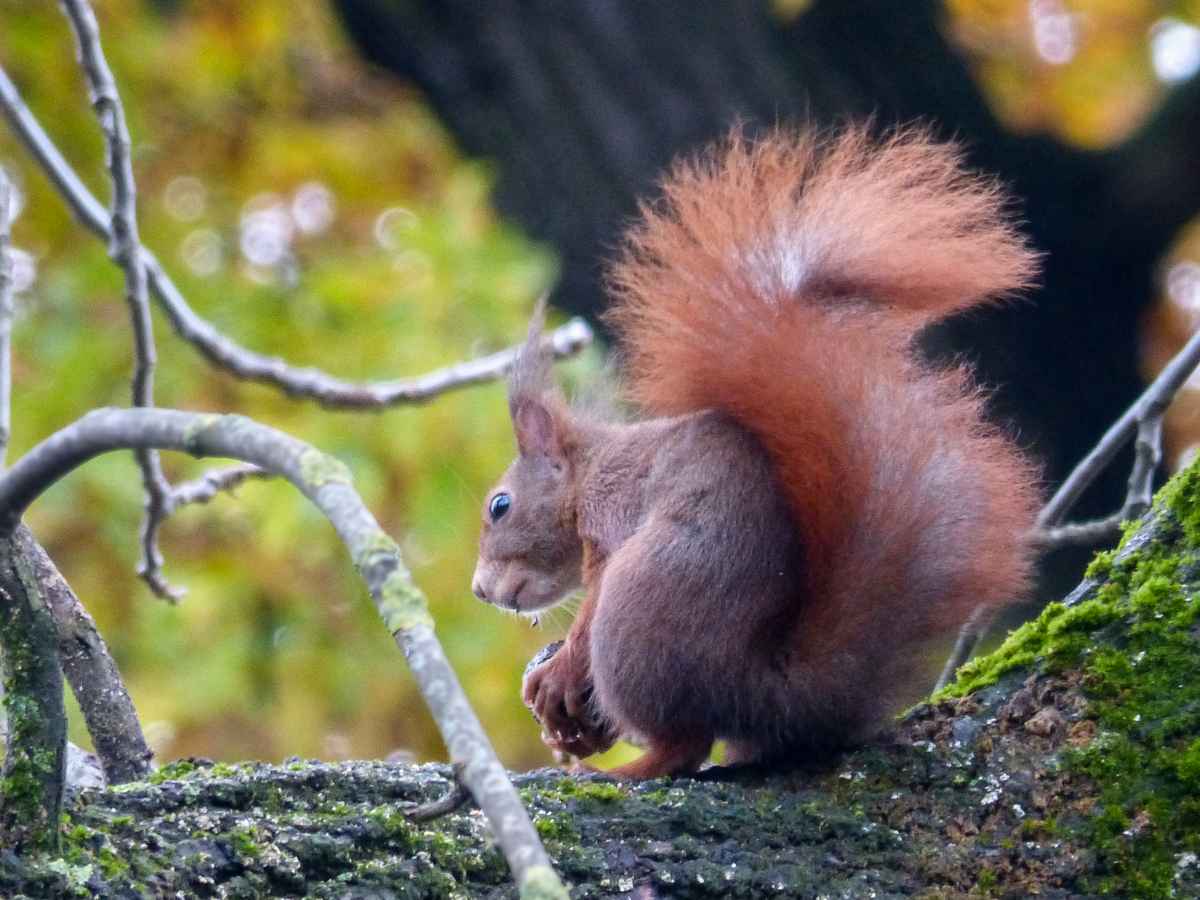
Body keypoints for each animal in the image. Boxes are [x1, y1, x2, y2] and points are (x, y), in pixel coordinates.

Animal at [471, 125, 1041, 780]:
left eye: (500, 507)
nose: (480, 592)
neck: (590, 471)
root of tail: (762, 691)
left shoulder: (615, 514)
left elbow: (588, 611)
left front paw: (560, 669)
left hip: (638, 607)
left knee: (684, 746)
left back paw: (614, 773)